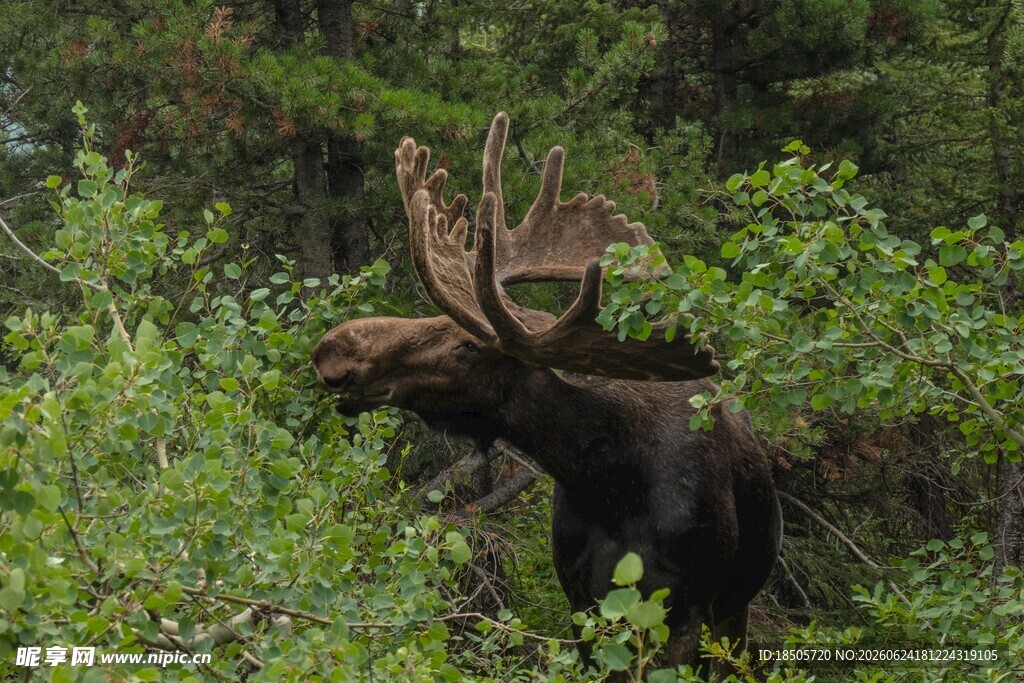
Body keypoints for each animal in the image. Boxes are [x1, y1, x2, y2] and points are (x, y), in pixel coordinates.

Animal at [311, 113, 782, 672]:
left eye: (468, 345)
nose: (331, 348)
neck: (608, 481)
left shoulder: (683, 612)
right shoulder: (583, 604)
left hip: (735, 608)